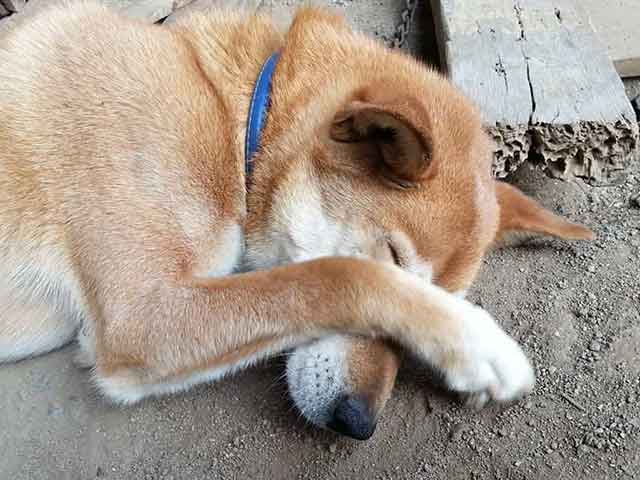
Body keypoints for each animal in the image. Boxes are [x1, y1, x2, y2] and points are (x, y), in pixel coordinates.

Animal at [0, 1, 593, 440]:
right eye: (396, 259)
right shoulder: (143, 315)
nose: (358, 423)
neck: (231, 119)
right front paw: (475, 343)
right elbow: (339, 275)